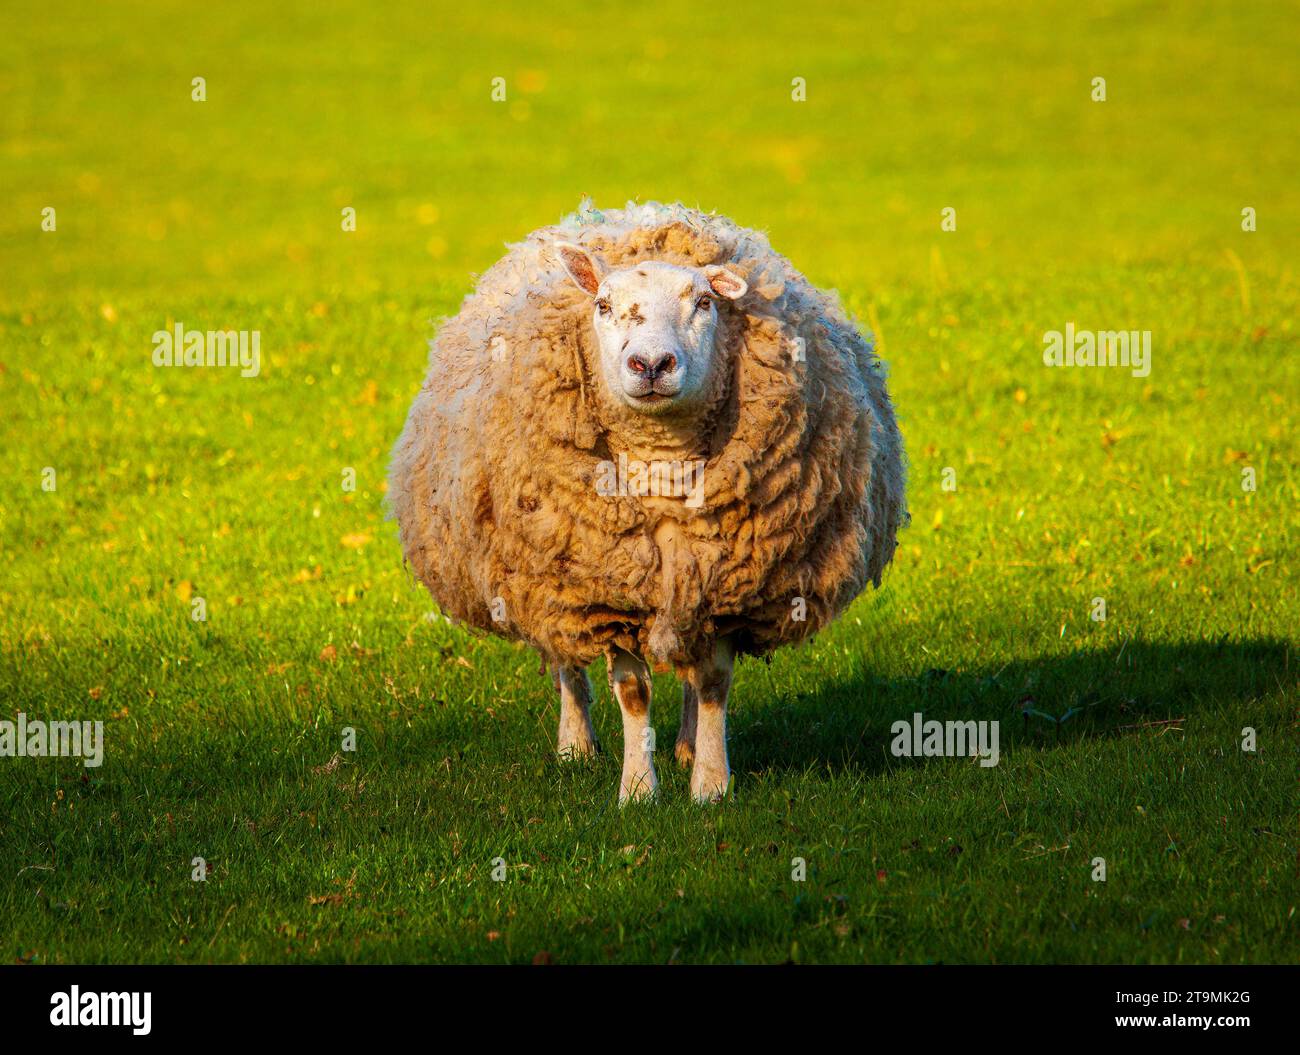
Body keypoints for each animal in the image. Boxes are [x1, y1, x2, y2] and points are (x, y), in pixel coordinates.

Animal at [390, 201, 909, 805]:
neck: (662, 468)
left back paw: (684, 743)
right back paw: (575, 745)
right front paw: (638, 790)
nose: (652, 364)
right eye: (603, 305)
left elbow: (712, 683)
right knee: (566, 658)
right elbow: (634, 692)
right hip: (548, 569)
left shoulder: (725, 583)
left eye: (704, 302)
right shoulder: (606, 591)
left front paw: (709, 783)